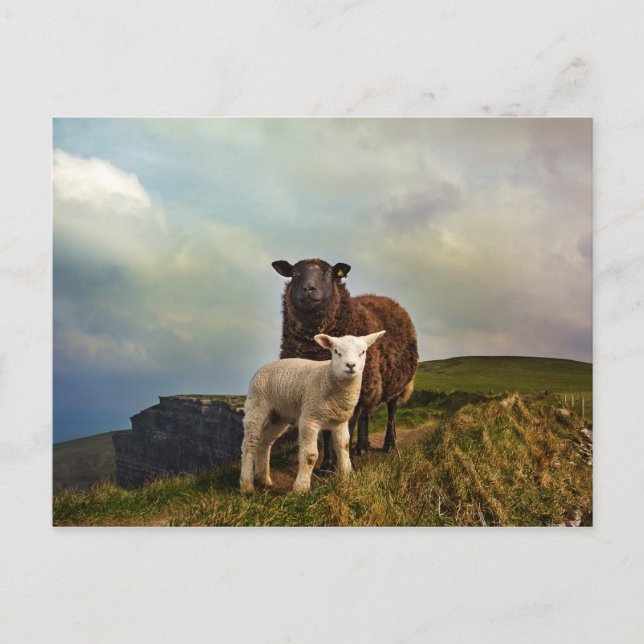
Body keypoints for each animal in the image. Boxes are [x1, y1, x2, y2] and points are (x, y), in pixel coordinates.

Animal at [240, 331, 386, 494]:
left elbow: (344, 447)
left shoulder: (340, 422)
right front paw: (301, 487)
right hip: (256, 405)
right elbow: (310, 455)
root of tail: (265, 366)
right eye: (336, 351)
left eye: (362, 352)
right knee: (250, 443)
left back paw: (264, 479)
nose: (350, 365)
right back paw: (246, 485)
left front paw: (347, 477)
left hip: (278, 416)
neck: (328, 378)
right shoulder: (310, 418)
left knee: (264, 443)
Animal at [272, 258, 418, 471]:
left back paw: (389, 444)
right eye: (295, 273)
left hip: (395, 383)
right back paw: (362, 447)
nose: (308, 288)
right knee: (366, 413)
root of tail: (387, 299)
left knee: (391, 412)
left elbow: (343, 430)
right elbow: (327, 432)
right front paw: (327, 464)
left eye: (330, 274)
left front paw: (339, 464)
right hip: (371, 383)